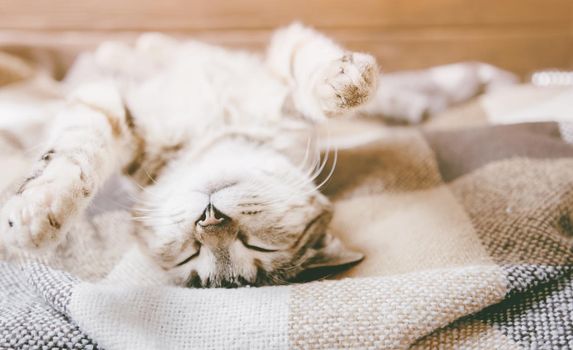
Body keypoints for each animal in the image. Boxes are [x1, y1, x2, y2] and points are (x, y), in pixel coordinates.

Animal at [0, 23, 520, 288]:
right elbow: (74, 155)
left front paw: (344, 83)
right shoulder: (110, 108)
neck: (220, 134)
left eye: (257, 248)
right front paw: (38, 212)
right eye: (191, 255)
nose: (209, 220)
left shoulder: (282, 72)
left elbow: (309, 71)